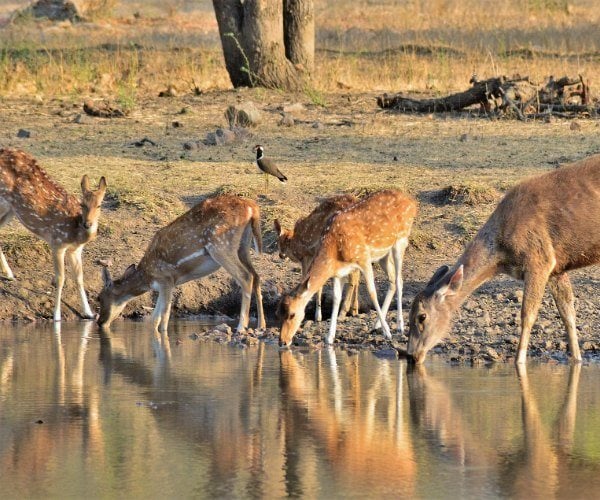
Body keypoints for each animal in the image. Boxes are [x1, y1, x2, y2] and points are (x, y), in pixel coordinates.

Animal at [0, 148, 106, 320]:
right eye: (82, 204)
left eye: (99, 205)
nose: (88, 224)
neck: (75, 233)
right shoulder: (57, 243)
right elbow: (60, 279)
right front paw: (56, 315)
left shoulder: (75, 250)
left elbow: (79, 278)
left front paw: (89, 313)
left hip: (10, 210)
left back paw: (9, 274)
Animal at [98, 194, 264, 332]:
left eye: (99, 298)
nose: (100, 322)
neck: (147, 277)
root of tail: (252, 208)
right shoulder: (165, 284)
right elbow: (154, 319)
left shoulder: (166, 279)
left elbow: (164, 318)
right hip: (243, 247)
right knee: (256, 276)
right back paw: (261, 326)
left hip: (220, 245)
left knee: (245, 276)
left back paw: (241, 327)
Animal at [274, 193, 364, 322]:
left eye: (279, 241)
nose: (281, 255)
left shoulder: (308, 256)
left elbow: (309, 280)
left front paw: (317, 316)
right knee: (358, 273)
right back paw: (354, 310)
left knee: (353, 276)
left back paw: (342, 313)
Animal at [408, 154, 600, 366]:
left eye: (422, 316)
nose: (411, 355)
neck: (502, 256)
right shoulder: (556, 268)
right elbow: (568, 313)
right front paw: (576, 358)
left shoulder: (539, 259)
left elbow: (527, 314)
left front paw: (519, 361)